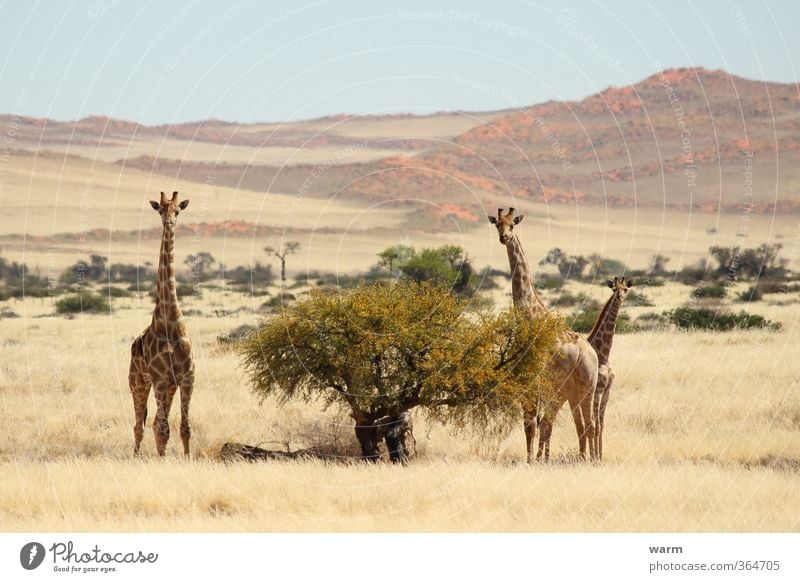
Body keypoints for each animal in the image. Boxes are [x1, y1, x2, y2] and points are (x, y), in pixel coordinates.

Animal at [130, 194, 196, 458]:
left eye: (178, 210)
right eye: (160, 210)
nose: (169, 223)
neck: (169, 322)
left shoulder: (186, 377)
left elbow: (184, 427)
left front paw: (188, 459)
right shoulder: (158, 378)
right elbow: (163, 428)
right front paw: (163, 461)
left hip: (168, 387)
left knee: (156, 421)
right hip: (137, 382)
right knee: (140, 424)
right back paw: (136, 457)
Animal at [484, 208, 596, 464]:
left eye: (512, 225)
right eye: (497, 225)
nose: (504, 238)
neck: (531, 313)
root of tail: (593, 354)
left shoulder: (533, 377)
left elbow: (532, 423)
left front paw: (530, 460)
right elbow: (533, 422)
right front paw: (534, 459)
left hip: (588, 385)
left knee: (590, 423)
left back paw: (591, 459)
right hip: (571, 389)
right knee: (583, 423)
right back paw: (587, 458)